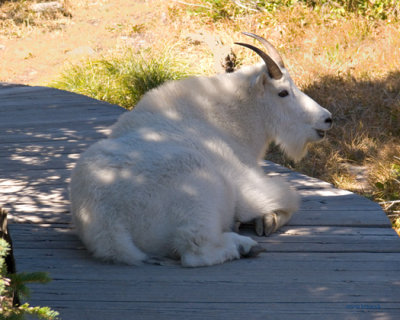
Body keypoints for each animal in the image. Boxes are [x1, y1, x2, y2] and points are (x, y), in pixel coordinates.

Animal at [70, 32, 332, 268]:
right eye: (283, 92)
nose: (327, 119)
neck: (229, 117)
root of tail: (109, 223)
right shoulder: (248, 187)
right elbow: (288, 199)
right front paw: (268, 219)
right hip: (200, 194)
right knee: (195, 251)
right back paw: (244, 245)